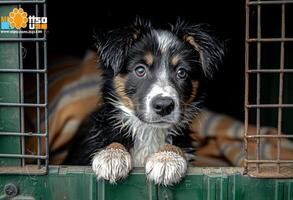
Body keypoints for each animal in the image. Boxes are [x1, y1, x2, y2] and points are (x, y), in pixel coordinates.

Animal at [64, 18, 224, 185]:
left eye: (182, 72)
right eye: (140, 70)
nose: (164, 106)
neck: (148, 131)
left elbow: (174, 144)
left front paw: (167, 158)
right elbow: (111, 139)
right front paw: (112, 155)